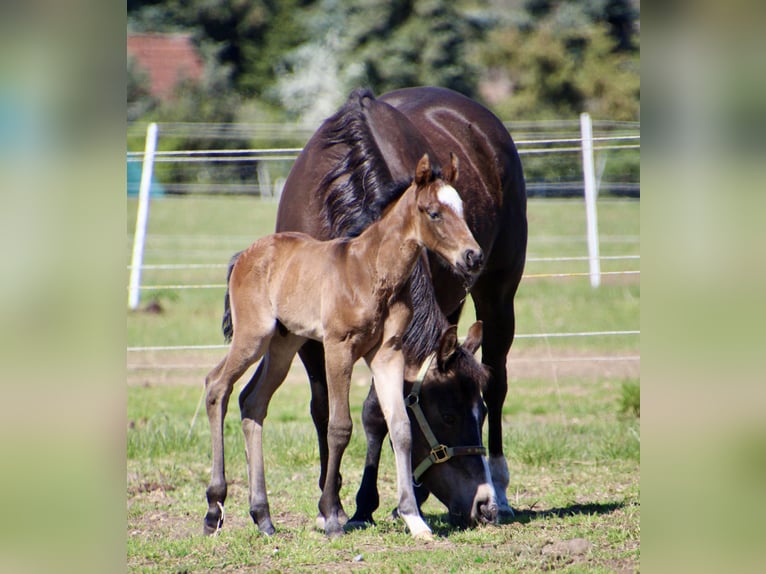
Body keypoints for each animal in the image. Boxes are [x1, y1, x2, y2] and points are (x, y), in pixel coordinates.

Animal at [203, 153, 486, 539]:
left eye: (462, 209)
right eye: (433, 213)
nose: (474, 257)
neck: (371, 272)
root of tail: (244, 255)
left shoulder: (388, 354)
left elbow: (400, 427)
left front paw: (413, 518)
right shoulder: (338, 348)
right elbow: (339, 427)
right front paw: (333, 517)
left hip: (283, 343)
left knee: (252, 402)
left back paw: (263, 517)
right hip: (253, 336)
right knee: (217, 386)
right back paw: (213, 509)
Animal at [276, 87, 527, 523]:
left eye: (475, 413)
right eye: (448, 415)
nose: (481, 504)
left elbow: (378, 412)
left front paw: (367, 501)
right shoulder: (308, 338)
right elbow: (323, 409)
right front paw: (331, 503)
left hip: (498, 296)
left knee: (498, 383)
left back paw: (497, 486)